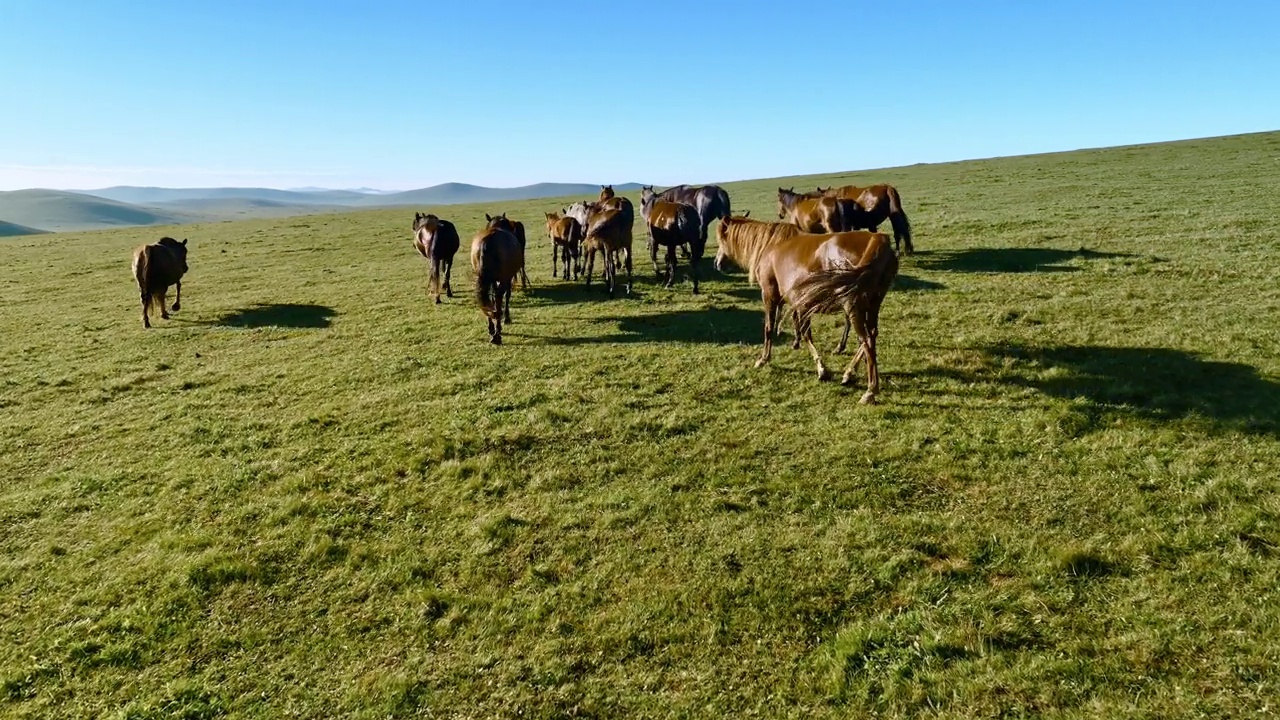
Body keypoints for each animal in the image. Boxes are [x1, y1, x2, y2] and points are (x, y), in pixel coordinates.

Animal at [711, 212, 901, 404]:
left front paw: (764, 359)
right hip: (873, 304)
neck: (771, 246)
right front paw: (805, 352)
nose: (717, 263)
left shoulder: (770, 295)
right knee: (872, 336)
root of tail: (877, 241)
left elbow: (771, 328)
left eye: (721, 238)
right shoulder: (800, 304)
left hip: (853, 306)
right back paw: (849, 373)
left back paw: (870, 390)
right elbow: (802, 330)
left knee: (866, 340)